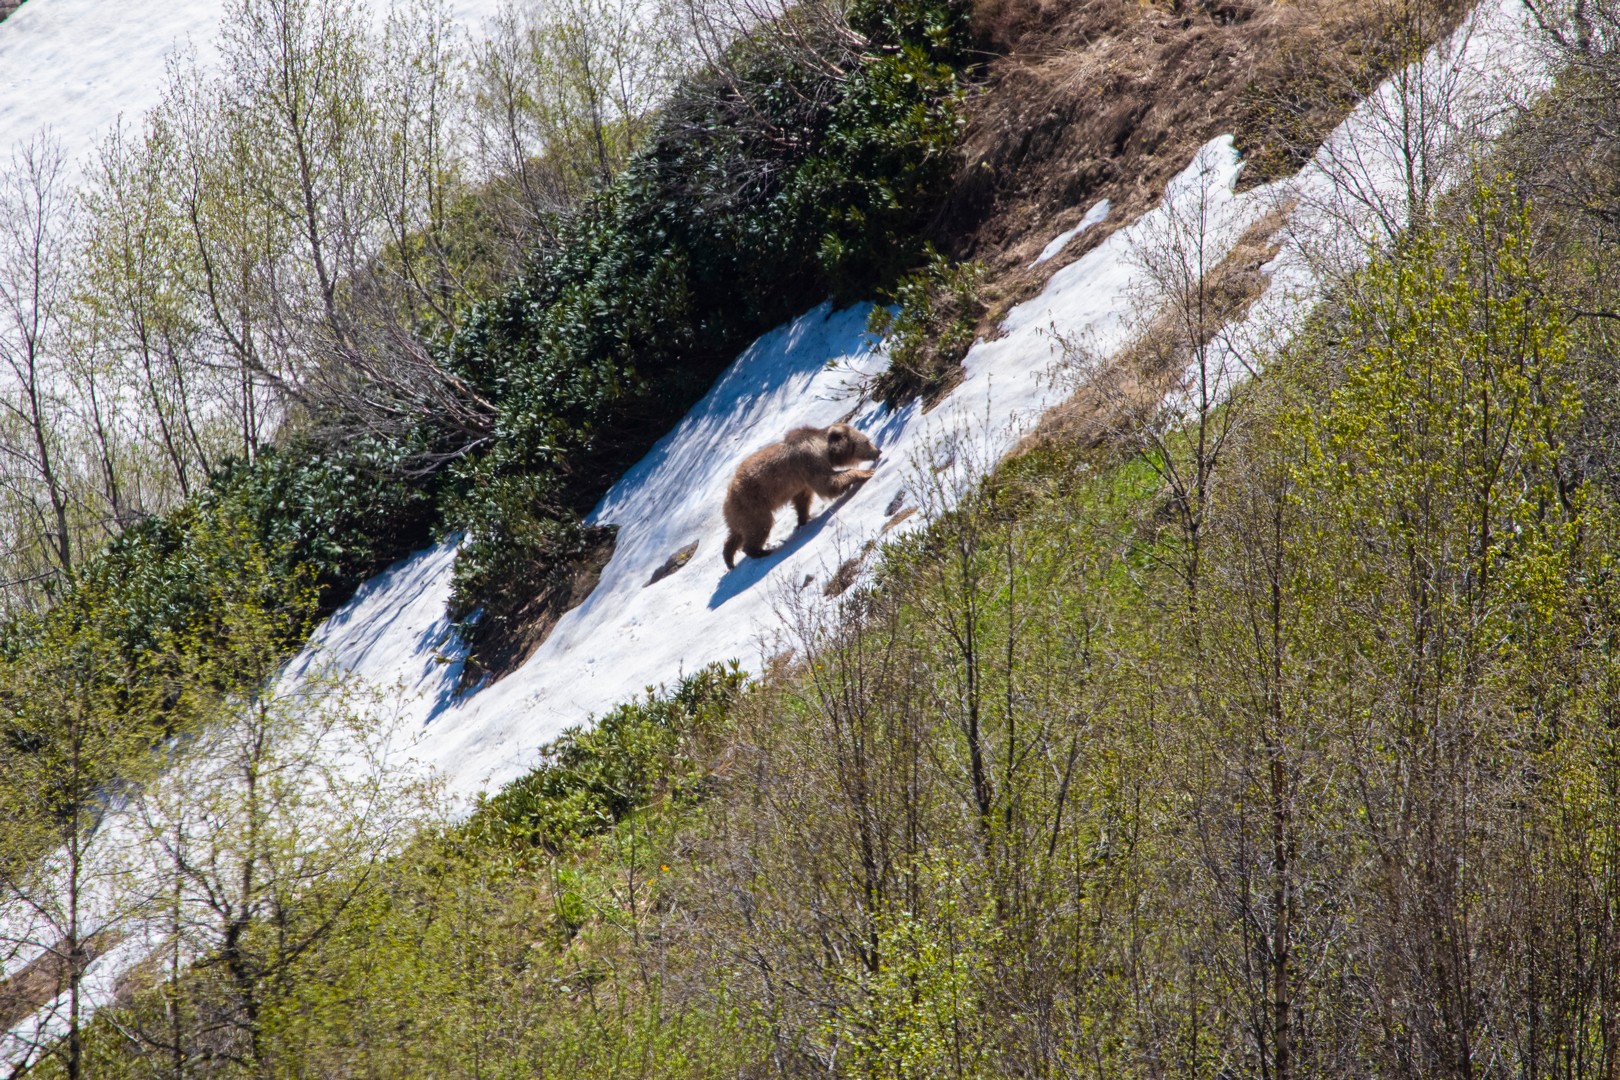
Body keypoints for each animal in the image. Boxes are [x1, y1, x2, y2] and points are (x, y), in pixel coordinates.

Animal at [722, 420, 881, 569]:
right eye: (867, 441)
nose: (879, 451)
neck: (825, 449)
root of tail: (727, 499)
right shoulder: (809, 460)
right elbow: (827, 483)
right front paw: (866, 473)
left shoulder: (802, 481)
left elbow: (802, 499)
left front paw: (803, 520)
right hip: (753, 504)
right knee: (760, 526)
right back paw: (761, 551)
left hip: (739, 515)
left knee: (735, 535)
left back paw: (729, 559)